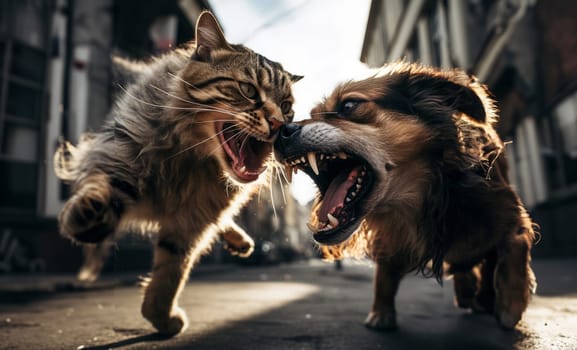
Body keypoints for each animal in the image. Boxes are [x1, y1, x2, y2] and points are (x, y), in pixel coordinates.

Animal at [54, 10, 302, 334]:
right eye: (248, 90)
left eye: (286, 106)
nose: (280, 124)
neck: (191, 160)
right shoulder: (116, 154)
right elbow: (100, 185)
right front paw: (86, 214)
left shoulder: (193, 221)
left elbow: (172, 272)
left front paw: (160, 316)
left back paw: (240, 240)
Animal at [274, 63, 536, 330]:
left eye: (348, 105)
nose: (280, 132)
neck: (422, 201)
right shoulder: (390, 238)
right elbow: (384, 273)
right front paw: (381, 313)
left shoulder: (508, 213)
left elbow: (515, 246)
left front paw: (510, 306)